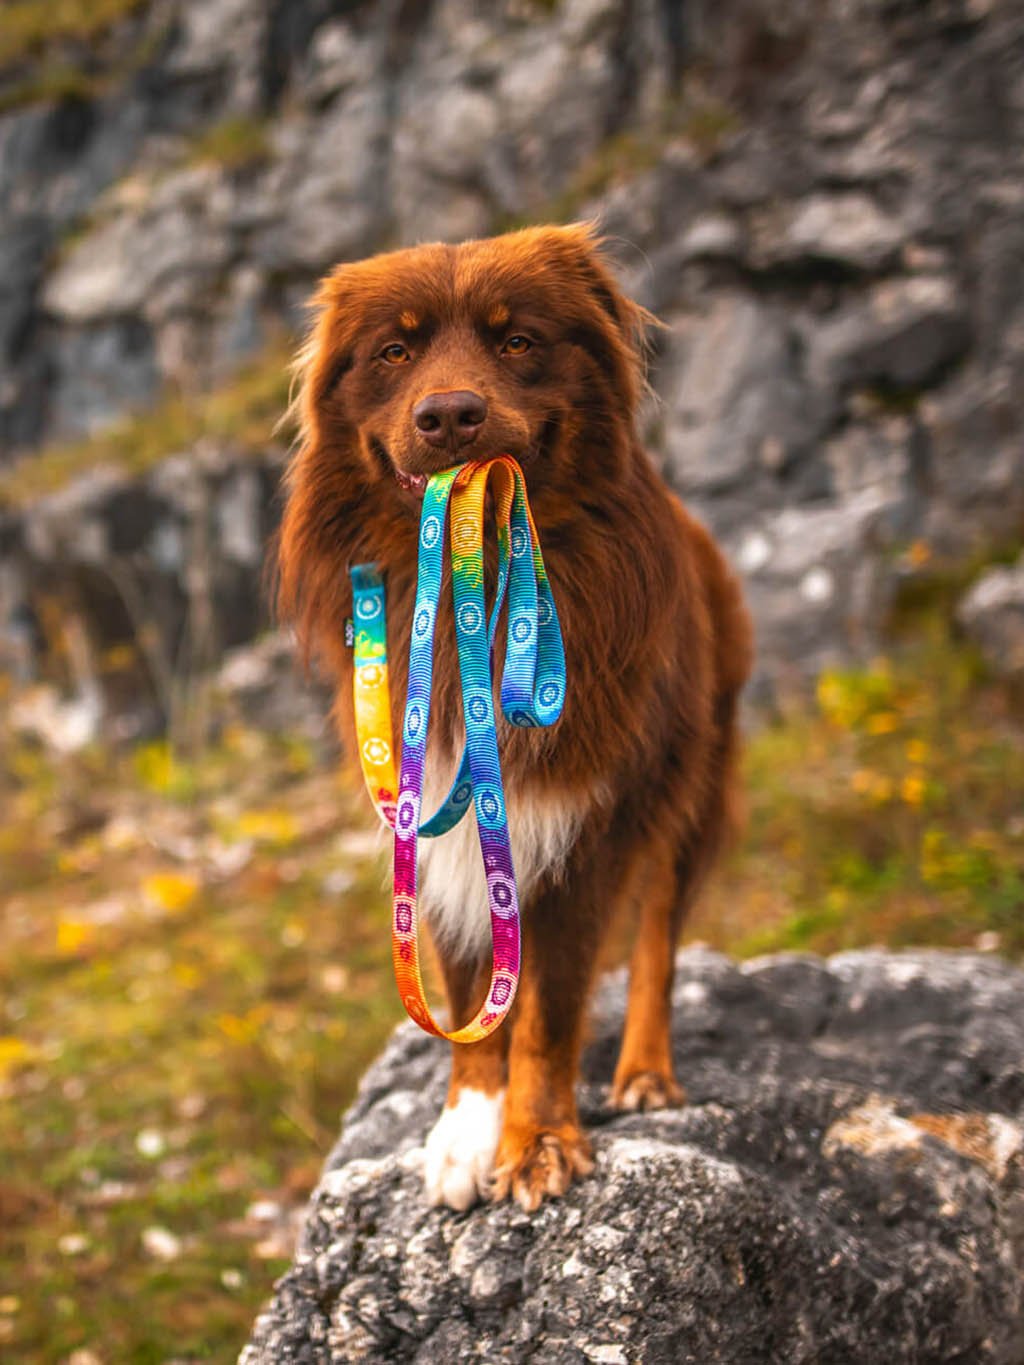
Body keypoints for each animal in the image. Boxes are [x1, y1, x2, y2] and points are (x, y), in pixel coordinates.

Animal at [278, 226, 753, 1217]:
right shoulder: (437, 812)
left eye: (518, 340)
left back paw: (645, 1071)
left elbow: (554, 1008)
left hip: (693, 772)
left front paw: (538, 1140)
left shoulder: (587, 823)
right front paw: (469, 1123)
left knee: (658, 934)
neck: (485, 575)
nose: (451, 416)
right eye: (395, 351)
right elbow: (470, 985)